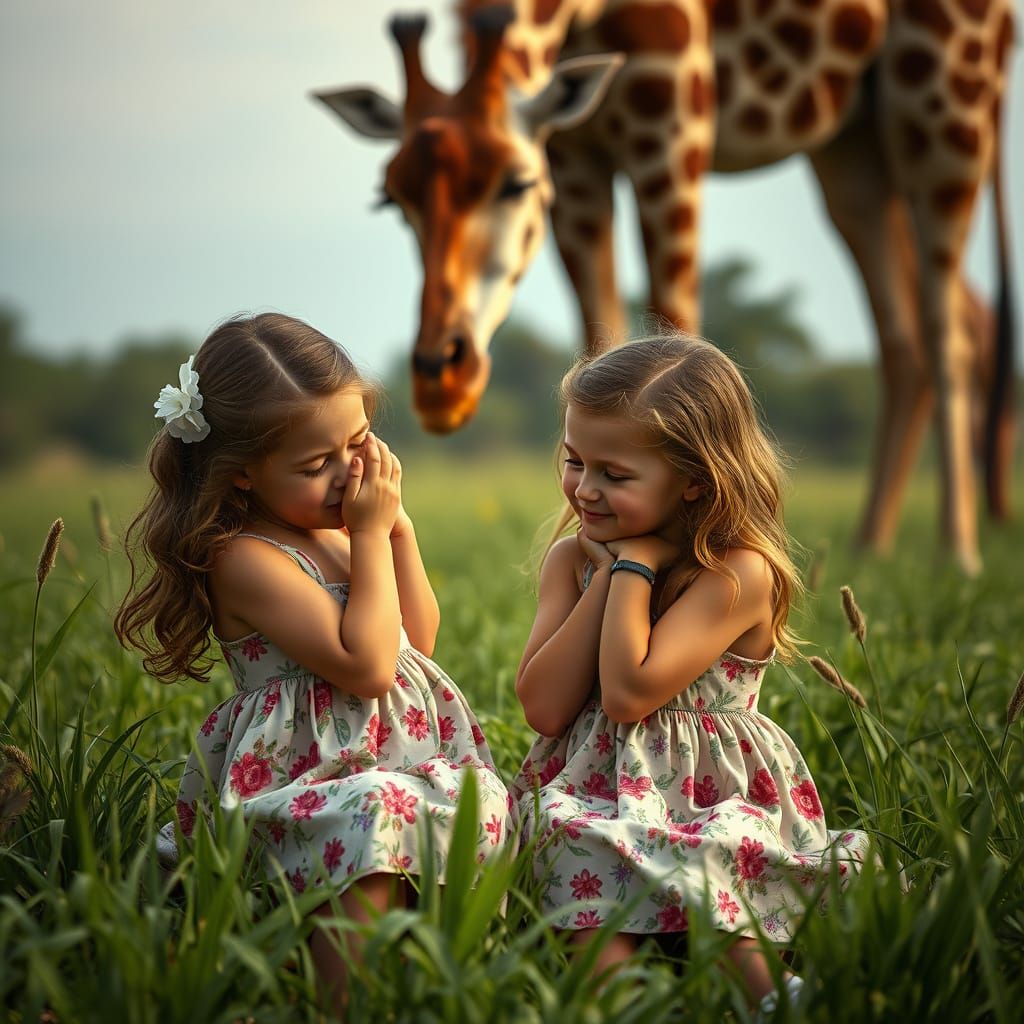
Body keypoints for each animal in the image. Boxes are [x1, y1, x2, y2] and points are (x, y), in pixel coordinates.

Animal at [316, 0, 1016, 574]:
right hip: (852, 142)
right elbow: (599, 337)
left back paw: (959, 556)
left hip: (945, 98)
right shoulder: (575, 152)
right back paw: (871, 550)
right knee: (908, 335)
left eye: (517, 182)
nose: (442, 385)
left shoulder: (673, 115)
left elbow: (677, 320)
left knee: (948, 328)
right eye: (391, 197)